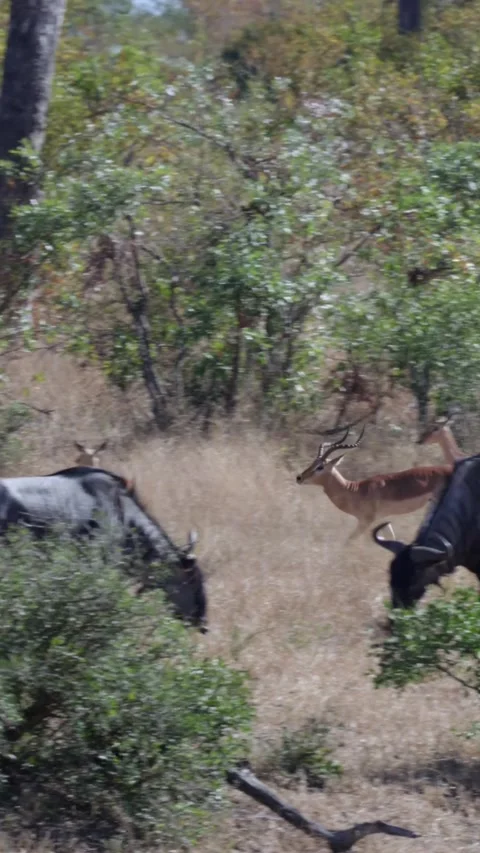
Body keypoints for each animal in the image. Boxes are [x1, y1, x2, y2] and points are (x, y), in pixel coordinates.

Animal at [296, 428, 452, 542]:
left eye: (320, 467)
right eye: (313, 462)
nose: (299, 477)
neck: (355, 491)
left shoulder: (366, 521)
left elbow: (349, 541)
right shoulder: (382, 520)